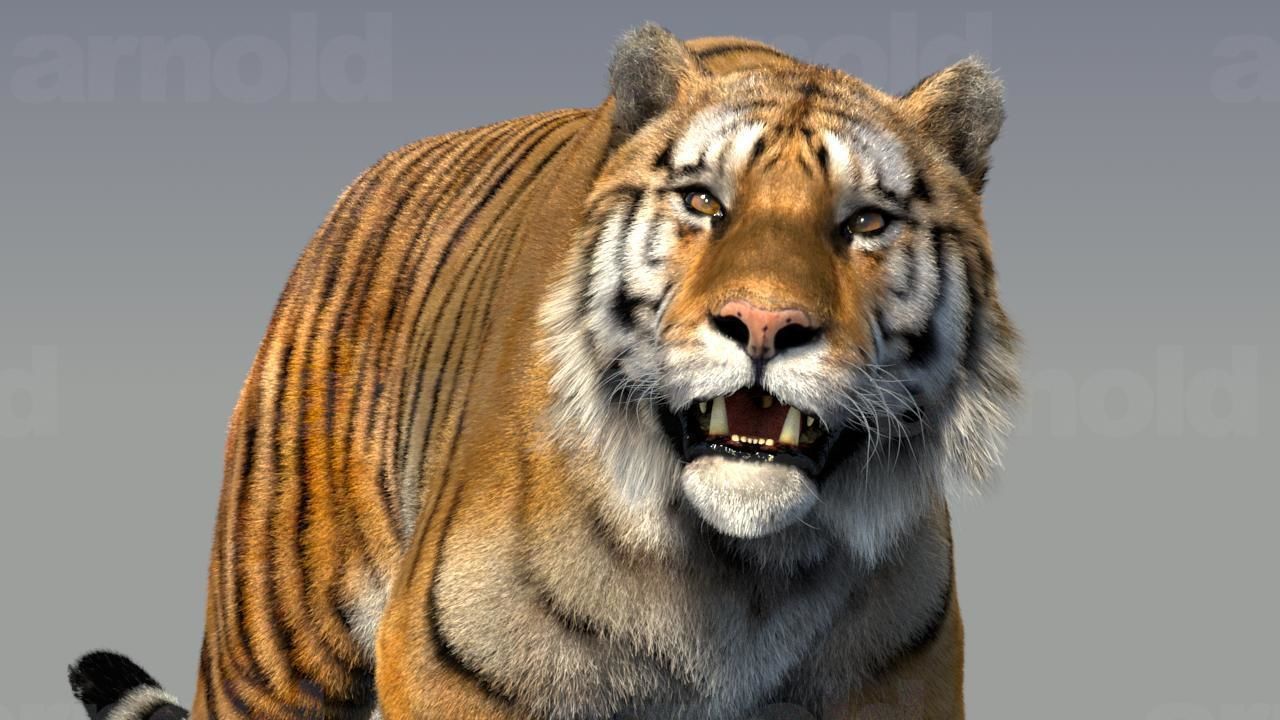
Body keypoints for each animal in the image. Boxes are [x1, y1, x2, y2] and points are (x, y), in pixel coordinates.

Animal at [69, 24, 1020, 720]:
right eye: (704, 202)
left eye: (864, 222)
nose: (763, 323)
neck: (744, 577)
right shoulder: (458, 677)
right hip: (271, 651)